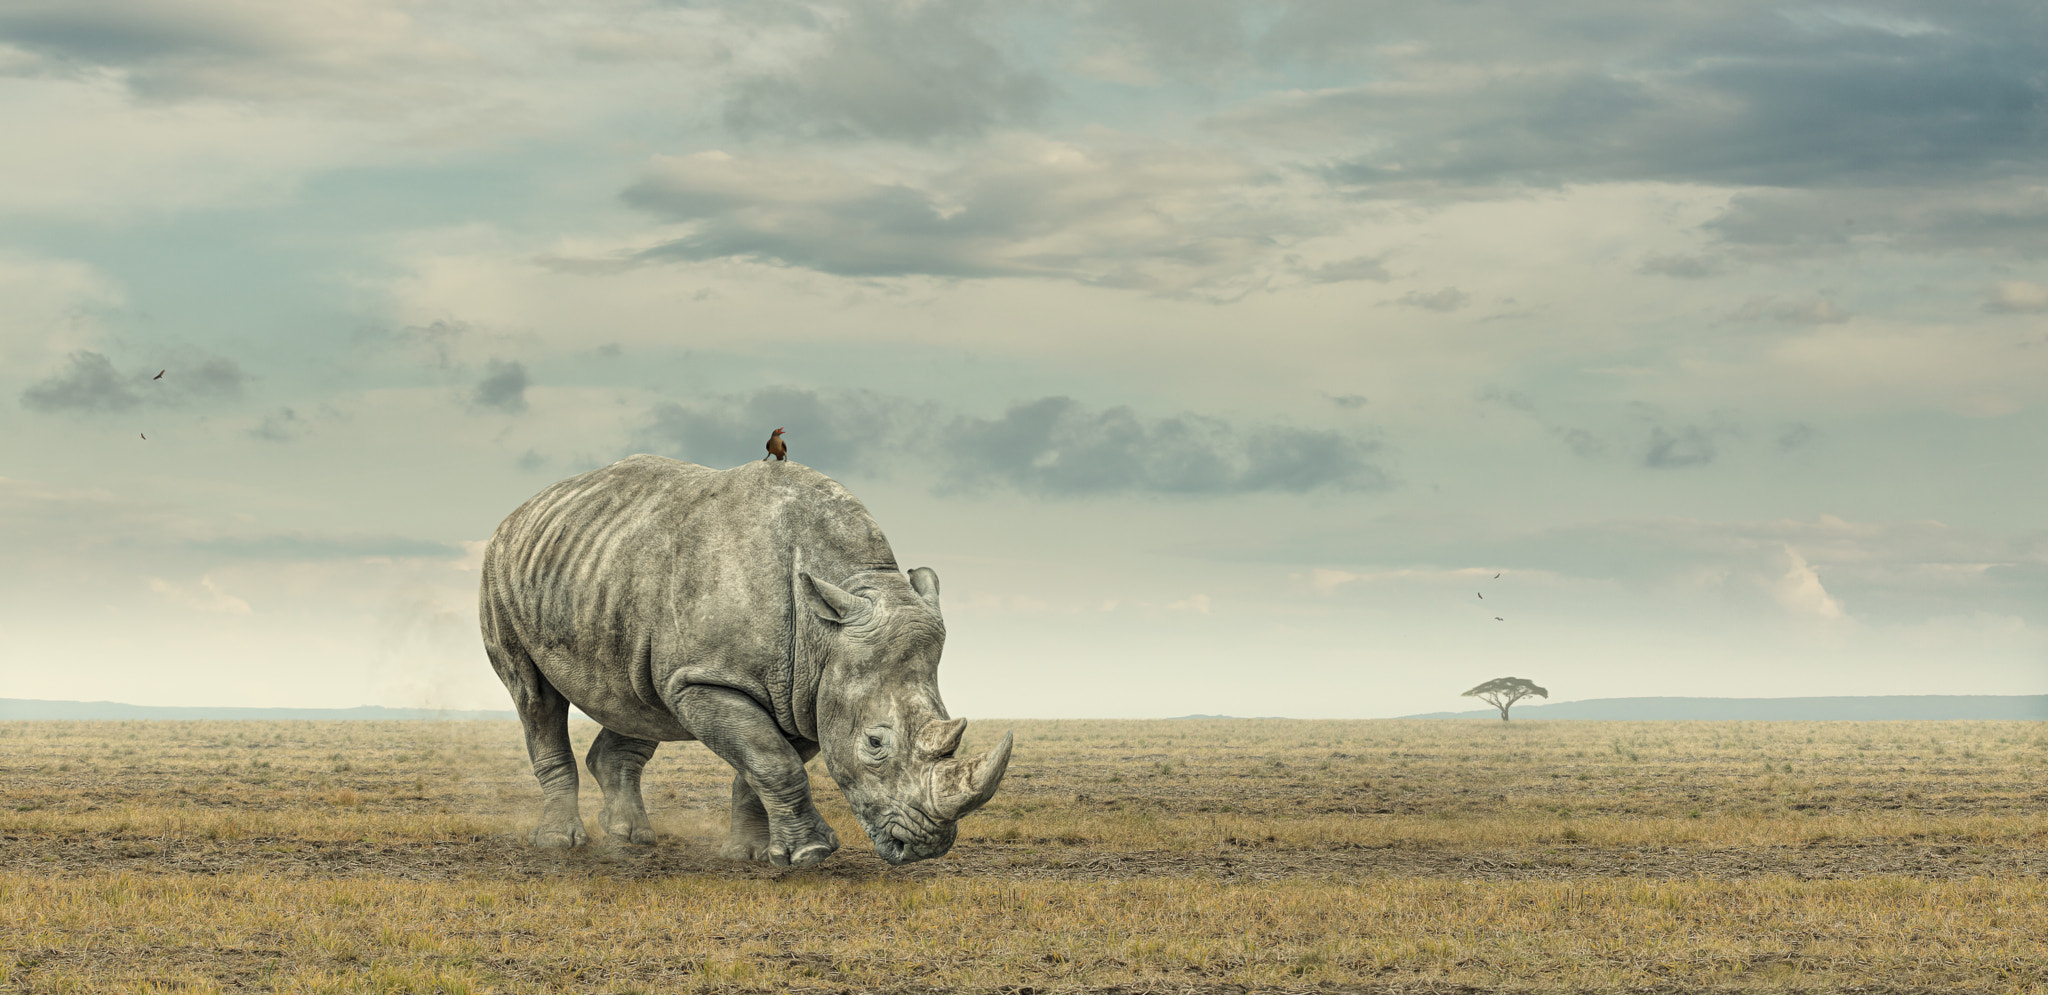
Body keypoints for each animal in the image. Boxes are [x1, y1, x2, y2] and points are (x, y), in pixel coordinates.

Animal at [473, 452, 1015, 863]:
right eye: (875, 743)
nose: (926, 847)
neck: (827, 627)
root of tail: (523, 509)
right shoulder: (711, 678)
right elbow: (772, 762)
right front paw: (812, 854)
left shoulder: (806, 690)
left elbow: (762, 767)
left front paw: (752, 854)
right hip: (499, 570)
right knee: (533, 696)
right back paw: (560, 843)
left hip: (604, 569)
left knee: (636, 697)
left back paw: (631, 837)